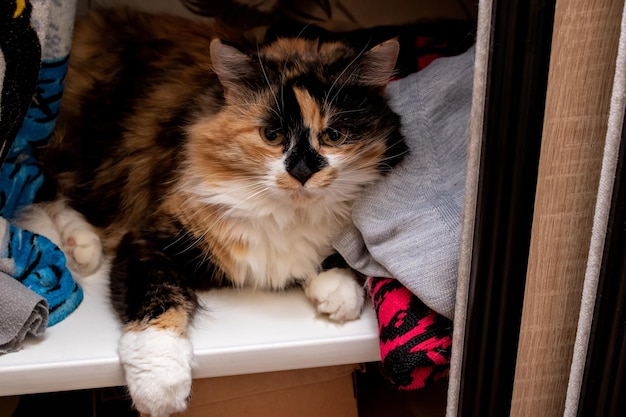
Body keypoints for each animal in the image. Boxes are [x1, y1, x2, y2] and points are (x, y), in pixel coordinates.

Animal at [18, 6, 404, 416]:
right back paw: (81, 246)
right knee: (47, 190)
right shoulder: (150, 239)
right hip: (70, 153)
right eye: (272, 135)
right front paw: (160, 386)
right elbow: (158, 301)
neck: (286, 213)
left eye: (334, 136)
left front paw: (338, 290)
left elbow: (340, 253)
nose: (301, 171)